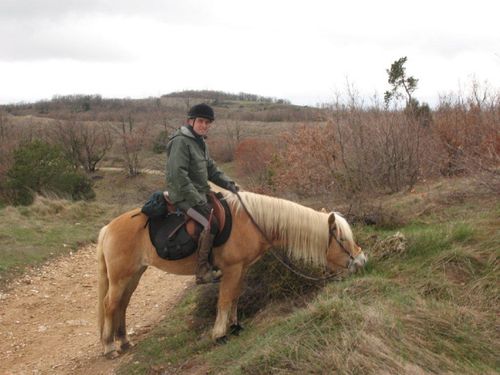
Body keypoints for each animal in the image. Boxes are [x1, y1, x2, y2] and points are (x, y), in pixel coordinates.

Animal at [95, 192, 368, 360]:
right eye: (343, 239)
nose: (362, 260)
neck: (254, 222)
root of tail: (108, 228)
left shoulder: (242, 268)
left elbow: (236, 296)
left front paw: (236, 326)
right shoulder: (232, 269)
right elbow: (225, 300)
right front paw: (219, 334)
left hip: (134, 275)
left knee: (122, 305)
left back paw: (124, 341)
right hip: (121, 277)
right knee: (110, 304)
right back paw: (109, 347)